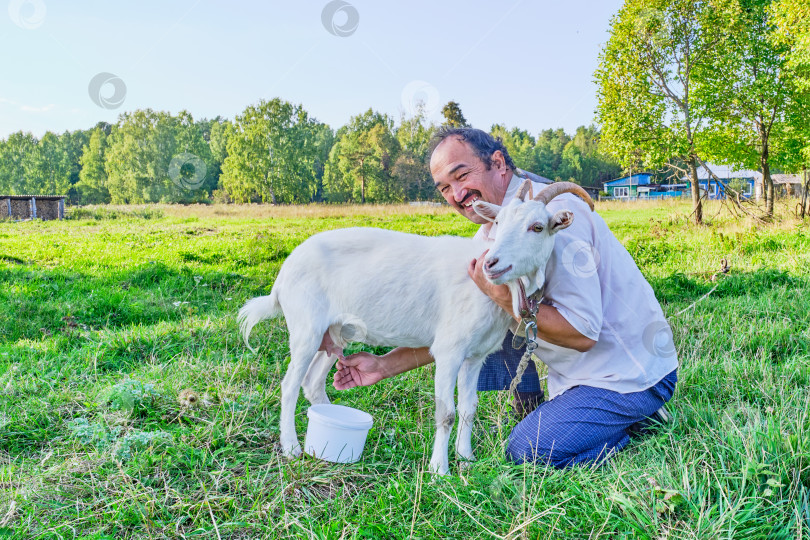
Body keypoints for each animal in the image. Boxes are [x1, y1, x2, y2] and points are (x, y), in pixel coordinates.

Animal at [237, 180, 592, 472]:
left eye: (537, 227)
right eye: (498, 223)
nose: (491, 263)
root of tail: (282, 277)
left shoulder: (476, 356)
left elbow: (469, 408)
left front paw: (466, 457)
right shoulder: (449, 350)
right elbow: (446, 413)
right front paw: (439, 469)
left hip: (336, 332)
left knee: (312, 382)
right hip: (306, 326)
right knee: (289, 385)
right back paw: (292, 448)